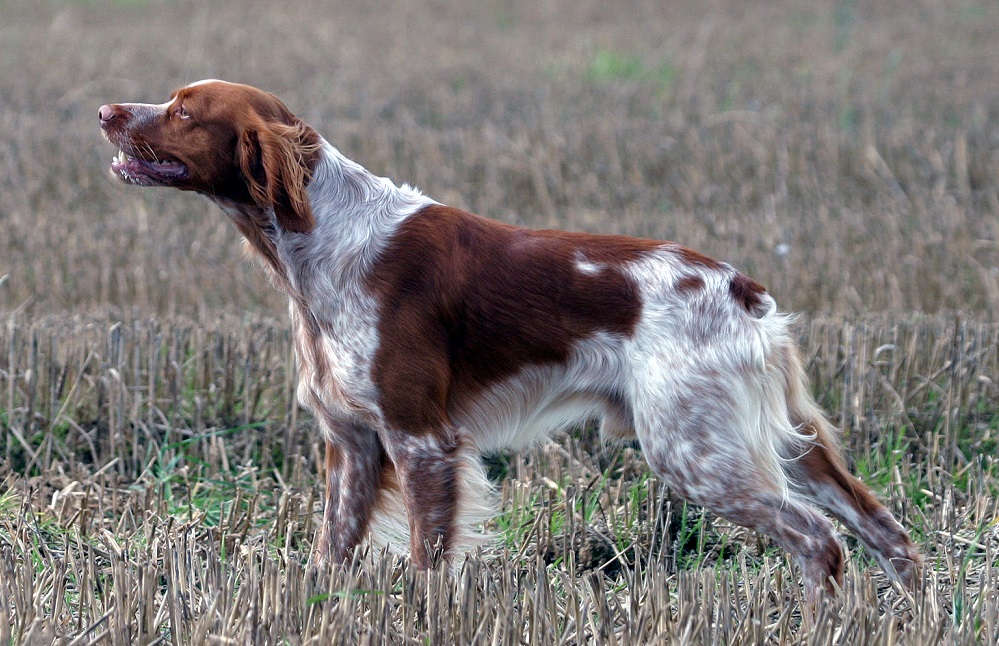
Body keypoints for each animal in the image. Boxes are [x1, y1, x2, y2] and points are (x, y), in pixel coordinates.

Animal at [101, 79, 920, 596]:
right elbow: (333, 552)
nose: (106, 110)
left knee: (819, 541)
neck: (323, 240)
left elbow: (429, 562)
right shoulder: (352, 444)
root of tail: (742, 290)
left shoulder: (422, 439)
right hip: (784, 443)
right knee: (888, 533)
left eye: (183, 111)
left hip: (696, 451)